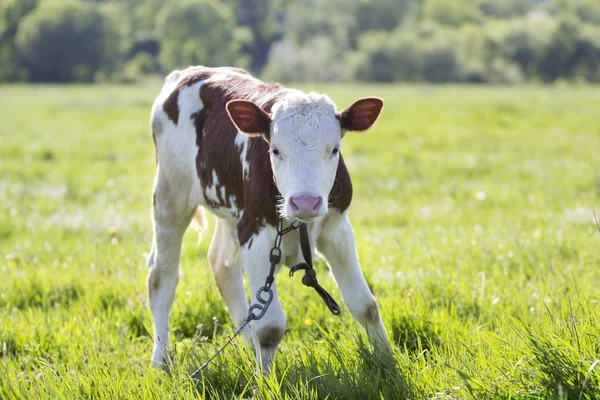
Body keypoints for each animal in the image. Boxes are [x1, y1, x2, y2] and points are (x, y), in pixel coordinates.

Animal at [148, 66, 392, 372]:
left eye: (334, 149)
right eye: (275, 150)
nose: (305, 202)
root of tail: (189, 72)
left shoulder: (337, 229)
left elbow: (364, 305)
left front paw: (388, 364)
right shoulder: (257, 234)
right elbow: (270, 327)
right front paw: (264, 379)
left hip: (230, 214)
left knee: (222, 264)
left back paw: (246, 342)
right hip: (170, 197)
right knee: (162, 277)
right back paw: (161, 359)